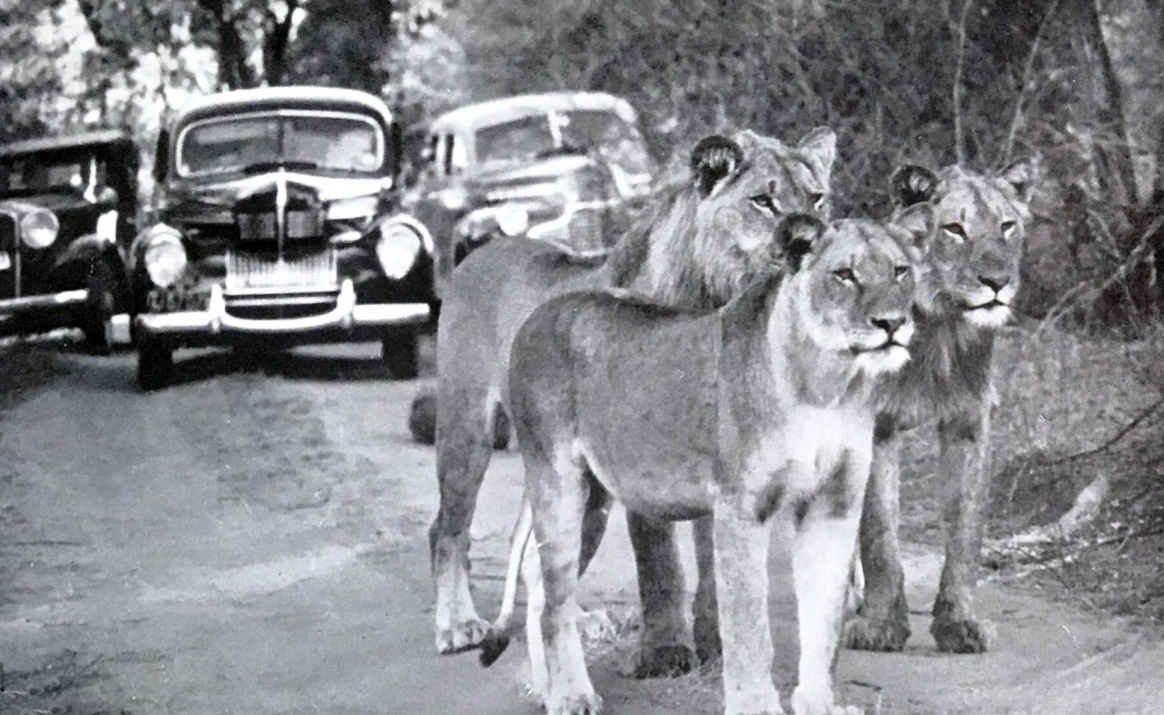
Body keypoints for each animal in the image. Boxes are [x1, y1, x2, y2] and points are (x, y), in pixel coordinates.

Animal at [429, 128, 838, 668]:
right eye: (762, 201)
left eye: (816, 197)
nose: (810, 235)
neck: (709, 299)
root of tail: (478, 252)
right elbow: (658, 554)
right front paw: (667, 649)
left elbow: (711, 555)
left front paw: (716, 639)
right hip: (467, 429)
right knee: (448, 529)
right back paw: (456, 625)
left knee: (547, 559)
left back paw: (578, 623)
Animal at [486, 209, 932, 715]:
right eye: (844, 275)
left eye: (900, 271)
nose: (892, 323)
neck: (826, 384)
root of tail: (539, 315)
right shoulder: (742, 508)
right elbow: (748, 624)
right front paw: (757, 706)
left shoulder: (832, 506)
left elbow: (823, 619)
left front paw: (818, 703)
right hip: (557, 479)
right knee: (555, 601)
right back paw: (571, 696)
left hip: (593, 504)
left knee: (539, 584)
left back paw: (547, 688)